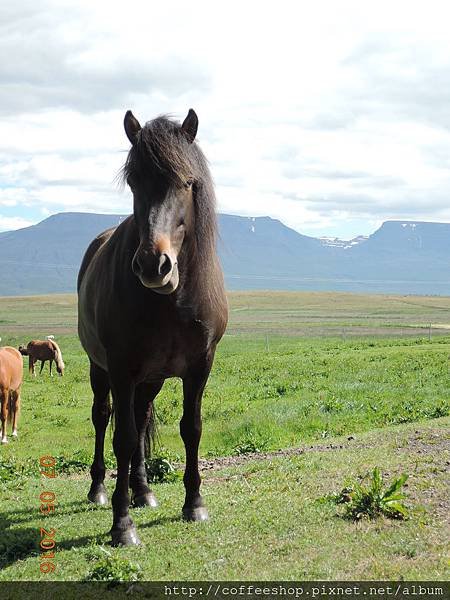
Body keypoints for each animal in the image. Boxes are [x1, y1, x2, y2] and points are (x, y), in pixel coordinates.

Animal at [77, 106, 229, 544]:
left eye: (187, 182)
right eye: (134, 181)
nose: (152, 264)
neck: (171, 303)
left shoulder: (200, 365)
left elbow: (191, 428)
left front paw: (194, 504)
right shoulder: (121, 368)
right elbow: (124, 438)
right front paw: (121, 523)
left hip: (152, 378)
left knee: (142, 415)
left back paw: (143, 491)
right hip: (101, 370)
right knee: (103, 416)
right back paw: (98, 488)